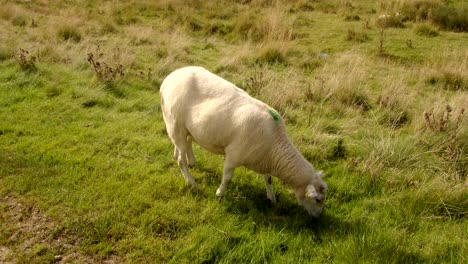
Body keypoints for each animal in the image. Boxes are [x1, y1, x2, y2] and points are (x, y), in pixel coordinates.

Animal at [159, 66, 328, 217]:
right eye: (318, 200)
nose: (318, 217)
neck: (275, 146)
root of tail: (169, 78)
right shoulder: (233, 156)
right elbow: (227, 178)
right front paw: (220, 193)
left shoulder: (265, 159)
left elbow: (268, 179)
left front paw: (271, 198)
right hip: (176, 123)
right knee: (180, 159)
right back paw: (192, 183)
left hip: (184, 128)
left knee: (184, 144)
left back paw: (191, 162)